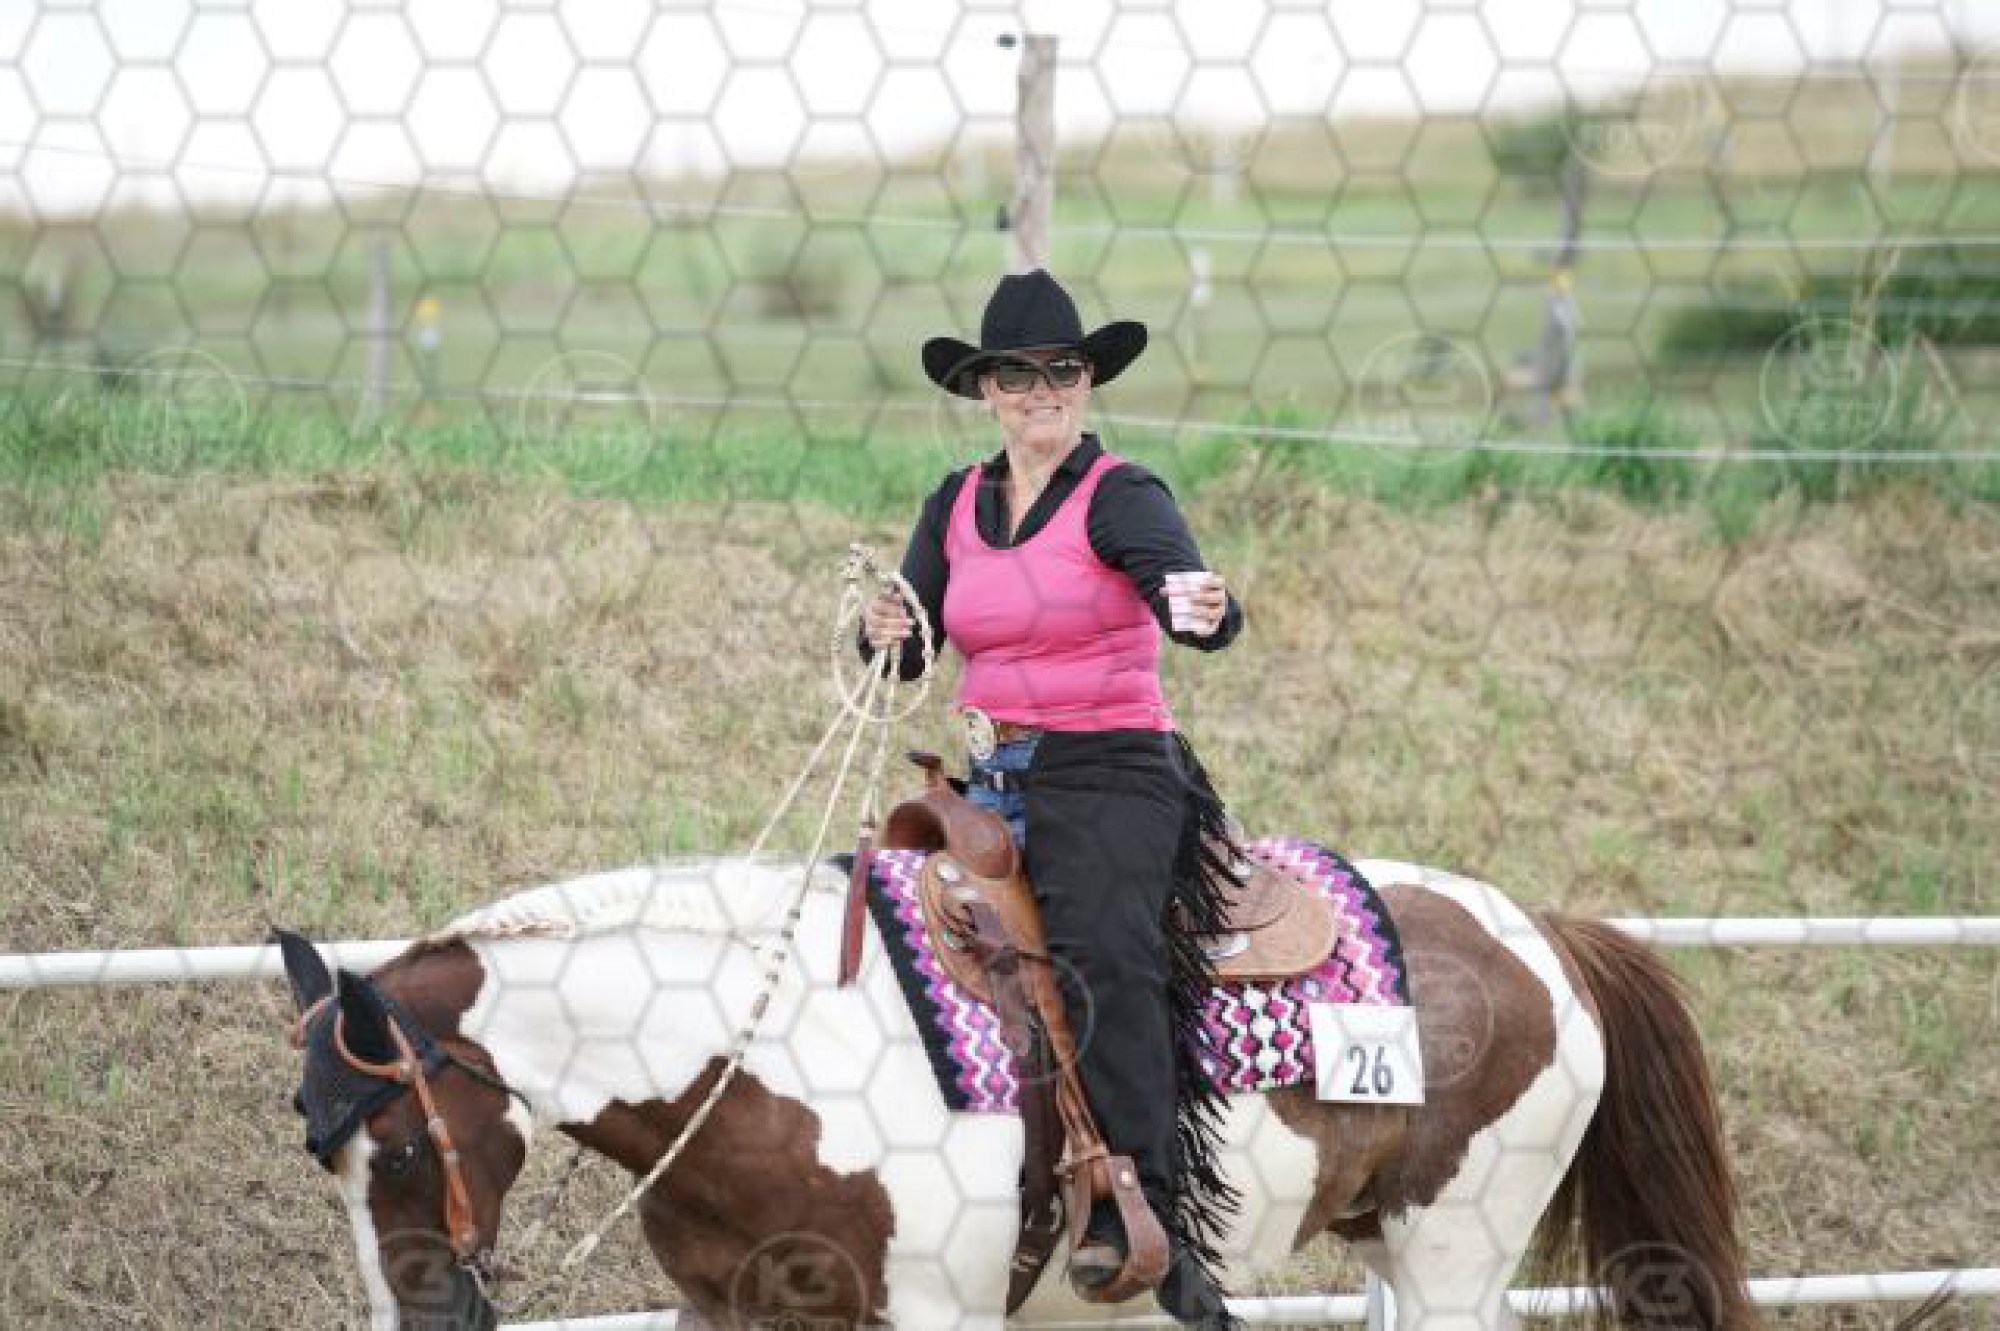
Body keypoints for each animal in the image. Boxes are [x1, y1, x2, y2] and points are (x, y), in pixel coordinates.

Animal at [271, 852, 1771, 1330]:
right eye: (317, 1153)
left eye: (393, 1149)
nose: (414, 1320)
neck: (767, 1058)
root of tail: (1544, 930)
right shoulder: (730, 1310)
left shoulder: (935, 1314)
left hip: (1458, 1246)